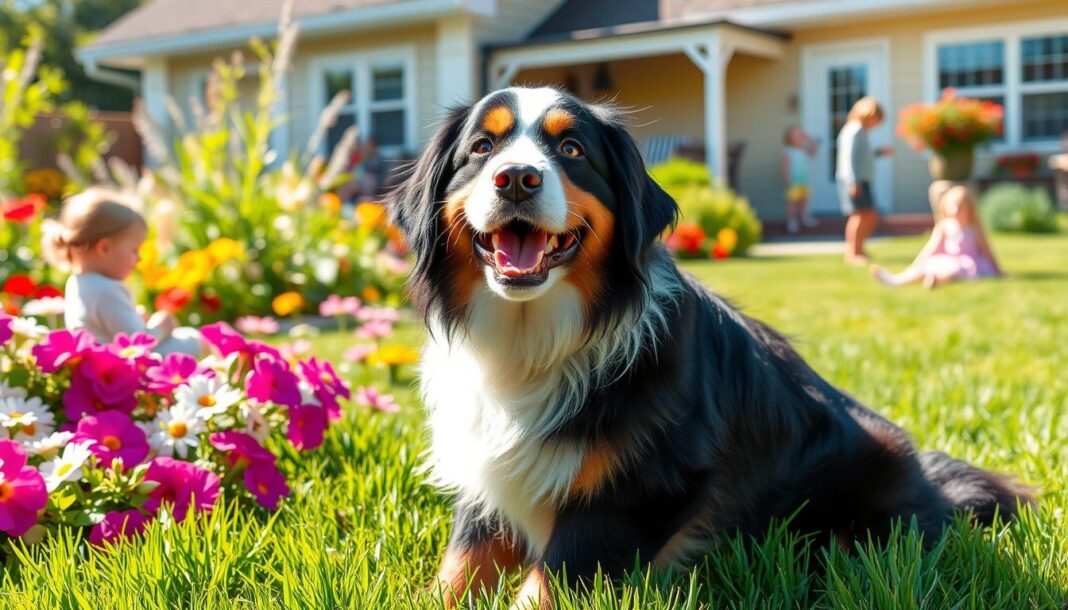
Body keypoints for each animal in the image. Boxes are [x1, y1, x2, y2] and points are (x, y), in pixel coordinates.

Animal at [386, 87, 1033, 610]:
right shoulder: (487, 469)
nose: (517, 177)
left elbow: (553, 577)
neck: (532, 340)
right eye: (480, 148)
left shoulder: (640, 487)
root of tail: (931, 480)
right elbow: (462, 562)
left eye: (571, 149)